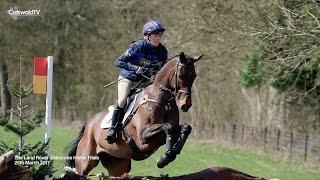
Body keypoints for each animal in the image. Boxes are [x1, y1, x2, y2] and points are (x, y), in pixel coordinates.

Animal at [66, 51, 204, 176]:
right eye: (181, 75)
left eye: (194, 76)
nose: (186, 104)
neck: (162, 100)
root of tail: (88, 123)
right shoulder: (143, 136)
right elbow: (168, 127)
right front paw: (165, 157)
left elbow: (184, 128)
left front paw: (169, 155)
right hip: (85, 161)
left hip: (118, 164)